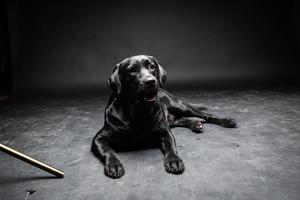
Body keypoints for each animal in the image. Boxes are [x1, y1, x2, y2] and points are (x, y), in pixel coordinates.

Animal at [91, 54, 237, 178]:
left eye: (152, 66)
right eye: (131, 70)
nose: (151, 81)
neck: (138, 111)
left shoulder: (164, 131)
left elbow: (170, 145)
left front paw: (174, 161)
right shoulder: (98, 138)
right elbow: (107, 150)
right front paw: (114, 164)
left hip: (179, 106)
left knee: (204, 114)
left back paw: (226, 121)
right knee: (180, 120)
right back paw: (196, 124)